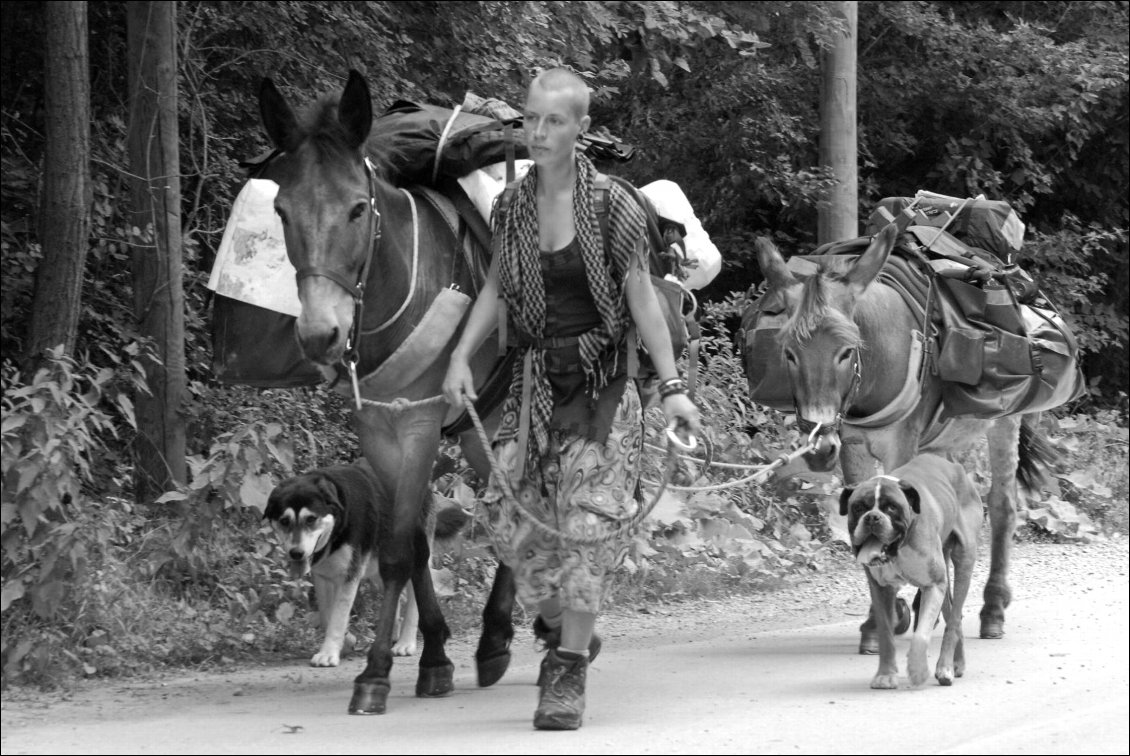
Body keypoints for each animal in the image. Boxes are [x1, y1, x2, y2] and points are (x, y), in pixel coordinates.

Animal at [264, 461, 467, 664]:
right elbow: (327, 616)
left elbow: (338, 617)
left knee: (414, 602)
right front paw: (345, 643)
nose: (296, 553)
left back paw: (406, 643)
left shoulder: (349, 577)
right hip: (381, 567)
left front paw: (328, 653)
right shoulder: (322, 577)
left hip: (415, 559)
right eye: (284, 521)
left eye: (311, 519)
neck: (338, 526)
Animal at [836, 452, 985, 687]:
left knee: (953, 620)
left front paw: (917, 671)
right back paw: (956, 663)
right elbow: (886, 635)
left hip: (964, 561)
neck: (899, 549)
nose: (872, 517)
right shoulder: (881, 589)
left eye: (891, 508)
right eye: (859, 507)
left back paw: (945, 667)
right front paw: (885, 674)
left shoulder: (933, 586)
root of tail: (957, 468)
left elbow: (921, 635)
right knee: (952, 615)